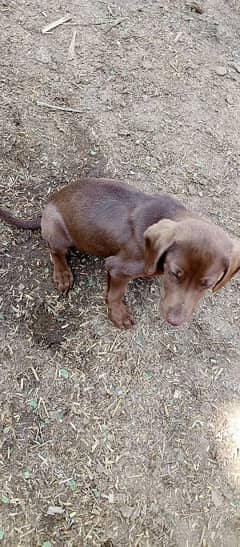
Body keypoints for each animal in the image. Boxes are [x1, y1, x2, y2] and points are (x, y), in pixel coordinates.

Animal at [0, 178, 240, 328]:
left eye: (207, 284)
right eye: (174, 273)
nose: (174, 322)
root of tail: (47, 206)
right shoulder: (117, 267)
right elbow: (116, 294)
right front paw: (119, 315)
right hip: (57, 232)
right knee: (54, 252)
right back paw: (62, 275)